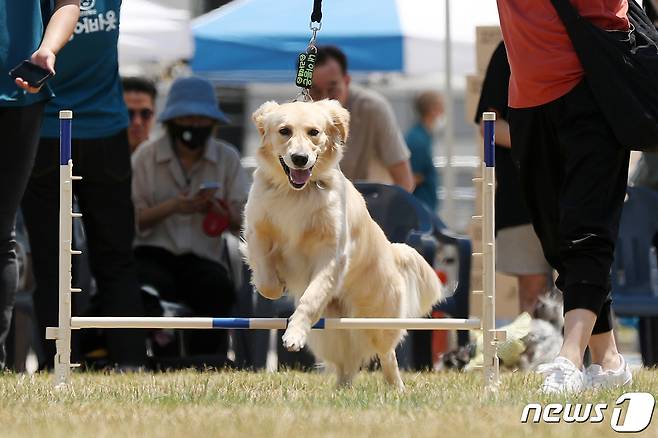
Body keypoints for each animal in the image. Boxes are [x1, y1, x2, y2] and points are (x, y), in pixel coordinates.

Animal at [238, 100, 444, 390]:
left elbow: (310, 298)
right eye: (284, 131)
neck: (296, 193)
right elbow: (267, 280)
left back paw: (396, 387)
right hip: (330, 332)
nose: (300, 158)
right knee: (346, 361)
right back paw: (341, 389)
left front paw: (294, 335)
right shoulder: (258, 229)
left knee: (386, 352)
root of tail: (394, 254)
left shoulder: (331, 255)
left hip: (376, 318)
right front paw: (277, 283)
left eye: (314, 132)